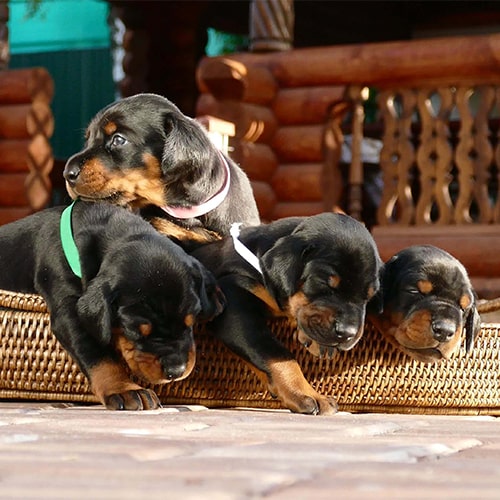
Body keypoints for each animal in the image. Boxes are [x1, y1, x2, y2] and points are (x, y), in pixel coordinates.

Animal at [0, 200, 225, 410]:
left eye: (191, 321)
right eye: (135, 330)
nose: (176, 370)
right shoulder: (69, 308)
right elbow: (96, 353)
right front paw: (124, 389)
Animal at [191, 213, 382, 416]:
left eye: (369, 296)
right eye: (324, 283)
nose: (347, 333)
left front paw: (319, 343)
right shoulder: (232, 295)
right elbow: (274, 352)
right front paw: (306, 392)